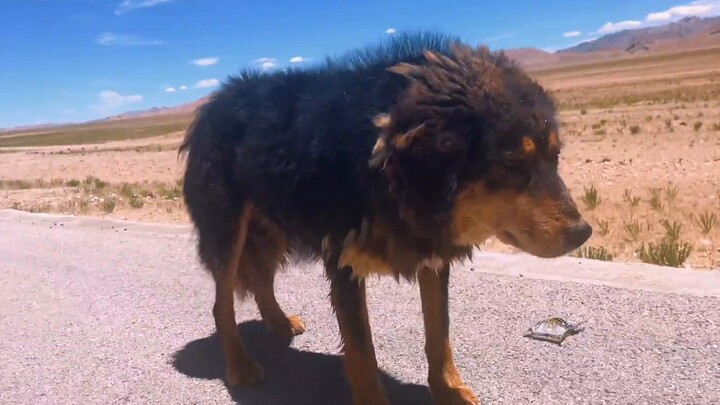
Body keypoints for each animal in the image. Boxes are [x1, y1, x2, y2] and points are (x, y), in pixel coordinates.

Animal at [179, 32, 592, 404]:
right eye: (511, 164)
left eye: (555, 156)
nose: (583, 232)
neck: (388, 168)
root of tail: (211, 104)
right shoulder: (342, 259)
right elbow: (362, 351)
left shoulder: (432, 253)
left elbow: (439, 333)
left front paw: (449, 391)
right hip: (229, 230)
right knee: (222, 303)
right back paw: (240, 366)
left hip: (272, 226)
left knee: (261, 280)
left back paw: (279, 323)